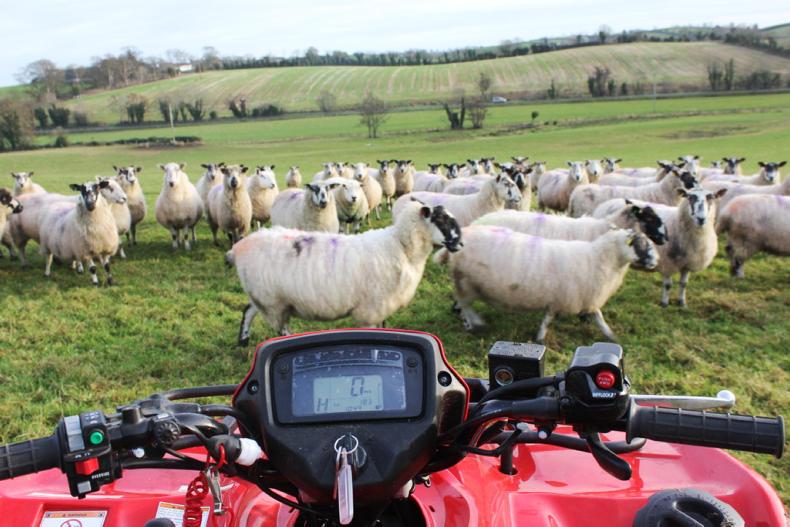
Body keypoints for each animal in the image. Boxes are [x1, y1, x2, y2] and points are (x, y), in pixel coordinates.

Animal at [228, 201, 462, 343]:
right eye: (441, 220)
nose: (460, 244)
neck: (400, 246)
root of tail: (239, 247)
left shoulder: (382, 306)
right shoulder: (370, 308)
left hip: (264, 296)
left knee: (248, 310)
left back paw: (243, 341)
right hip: (273, 300)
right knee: (278, 326)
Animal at [435, 226, 657, 342]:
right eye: (641, 244)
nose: (656, 261)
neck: (600, 258)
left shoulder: (585, 299)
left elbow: (599, 319)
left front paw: (612, 337)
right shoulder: (561, 299)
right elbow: (548, 320)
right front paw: (540, 339)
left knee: (462, 305)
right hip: (465, 282)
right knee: (465, 305)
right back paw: (475, 324)